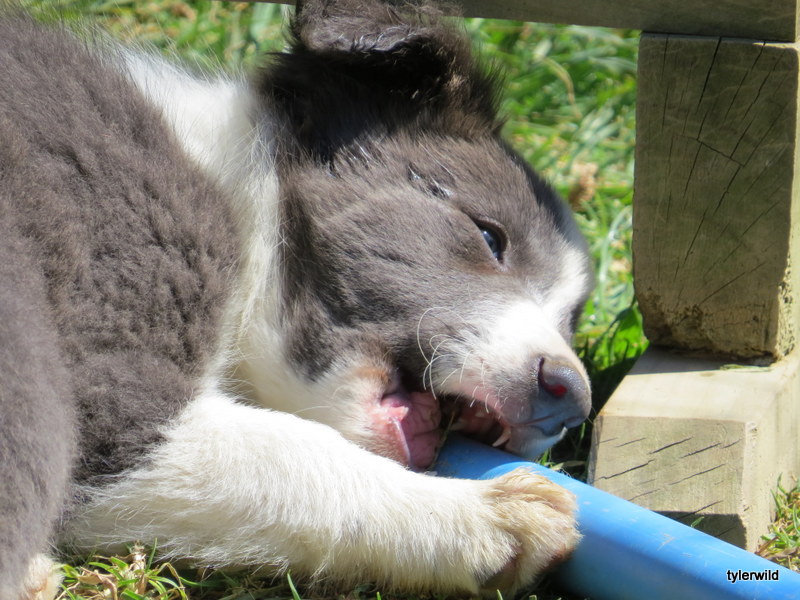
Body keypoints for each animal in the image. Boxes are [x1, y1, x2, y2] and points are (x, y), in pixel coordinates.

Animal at [0, 1, 594, 598]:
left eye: (571, 323)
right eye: (490, 237)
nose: (571, 400)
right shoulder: (112, 361)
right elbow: (292, 454)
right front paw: (485, 514)